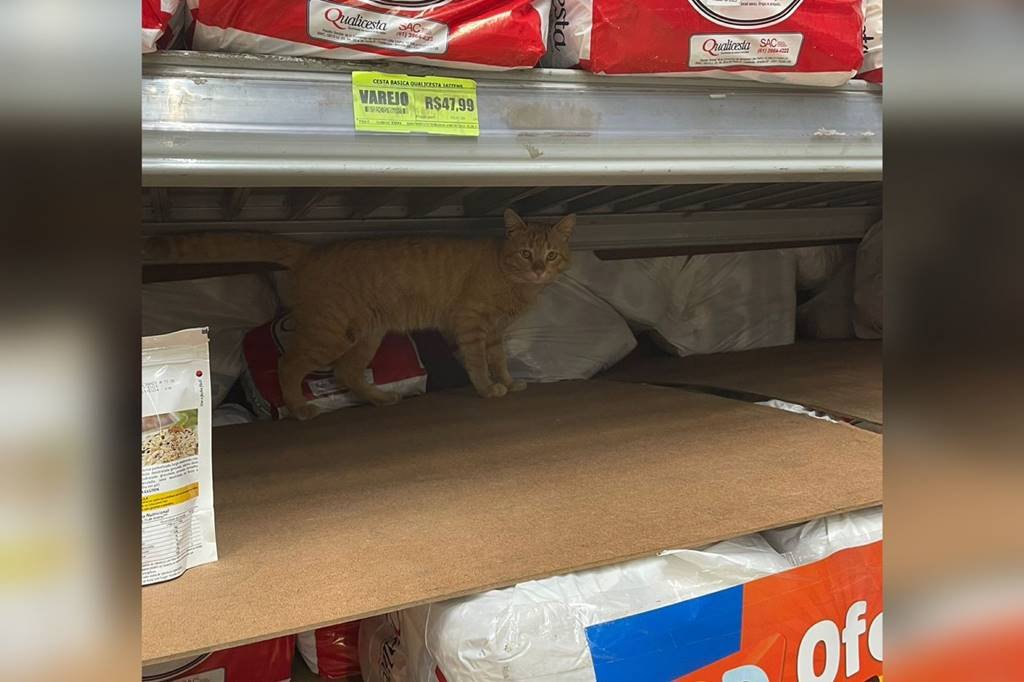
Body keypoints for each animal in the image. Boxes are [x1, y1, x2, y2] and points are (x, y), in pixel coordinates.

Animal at [146, 209, 577, 417]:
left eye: (552, 254)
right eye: (527, 253)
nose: (540, 268)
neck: (511, 279)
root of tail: (312, 250)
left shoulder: (494, 334)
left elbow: (499, 361)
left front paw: (509, 382)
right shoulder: (471, 325)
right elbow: (478, 365)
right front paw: (489, 389)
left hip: (365, 336)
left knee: (346, 373)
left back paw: (378, 398)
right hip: (330, 335)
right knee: (289, 364)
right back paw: (299, 409)